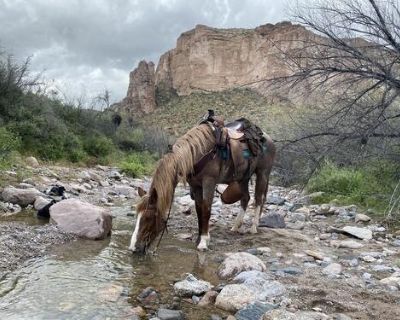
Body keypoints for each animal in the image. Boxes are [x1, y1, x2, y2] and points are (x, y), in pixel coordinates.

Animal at [128, 116, 276, 254]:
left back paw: (253, 228)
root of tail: (267, 138)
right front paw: (199, 239)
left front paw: (204, 242)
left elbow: (206, 209)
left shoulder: (208, 182)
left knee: (258, 199)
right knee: (246, 198)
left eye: (148, 217)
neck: (196, 154)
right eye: (137, 216)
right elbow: (199, 209)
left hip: (262, 173)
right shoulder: (196, 186)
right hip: (243, 178)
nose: (133, 248)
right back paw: (235, 227)